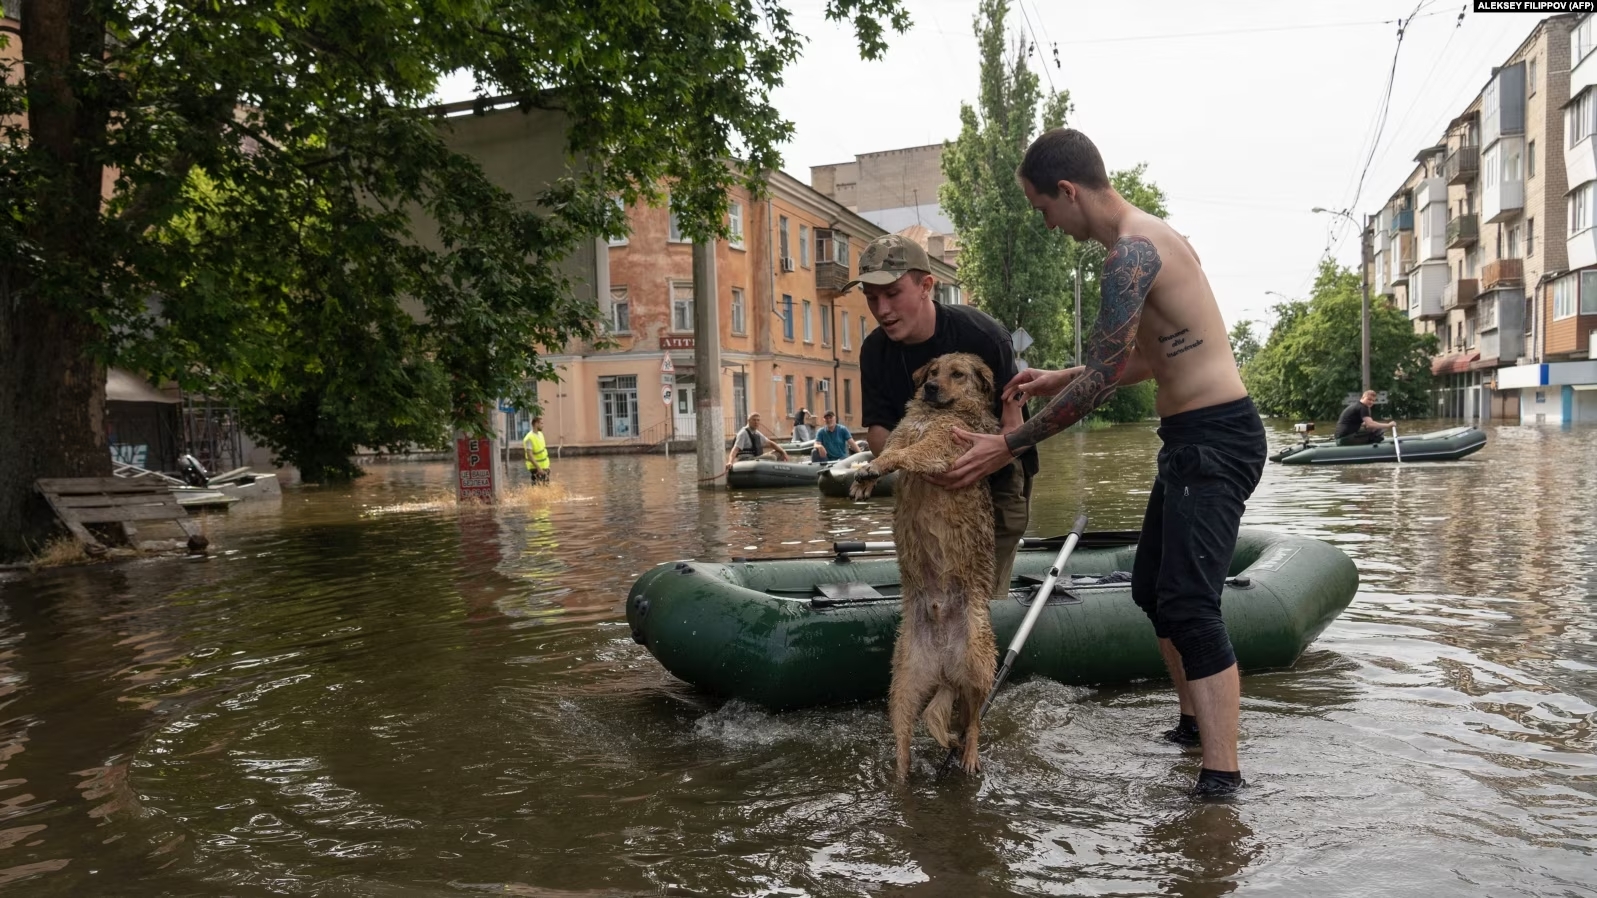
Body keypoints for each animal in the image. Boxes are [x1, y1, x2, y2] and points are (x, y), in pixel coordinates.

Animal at [849, 349, 996, 776]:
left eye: (957, 373)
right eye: (932, 370)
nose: (930, 387)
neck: (934, 413)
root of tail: (945, 665)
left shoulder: (939, 447)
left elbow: (904, 455)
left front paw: (872, 470)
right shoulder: (901, 433)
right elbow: (887, 450)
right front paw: (866, 476)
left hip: (979, 661)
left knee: (973, 719)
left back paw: (968, 754)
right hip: (903, 686)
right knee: (905, 739)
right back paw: (901, 774)